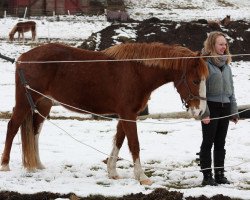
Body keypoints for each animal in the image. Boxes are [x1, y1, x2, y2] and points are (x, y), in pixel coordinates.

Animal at [0, 42, 209, 184]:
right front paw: (141, 177)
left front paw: (112, 171)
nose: (200, 111)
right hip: (24, 103)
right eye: (196, 80)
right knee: (12, 127)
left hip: (43, 104)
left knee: (35, 132)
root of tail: (22, 58)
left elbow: (119, 140)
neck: (136, 71)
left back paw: (38, 164)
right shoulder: (128, 114)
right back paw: (5, 165)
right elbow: (134, 144)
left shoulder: (126, 114)